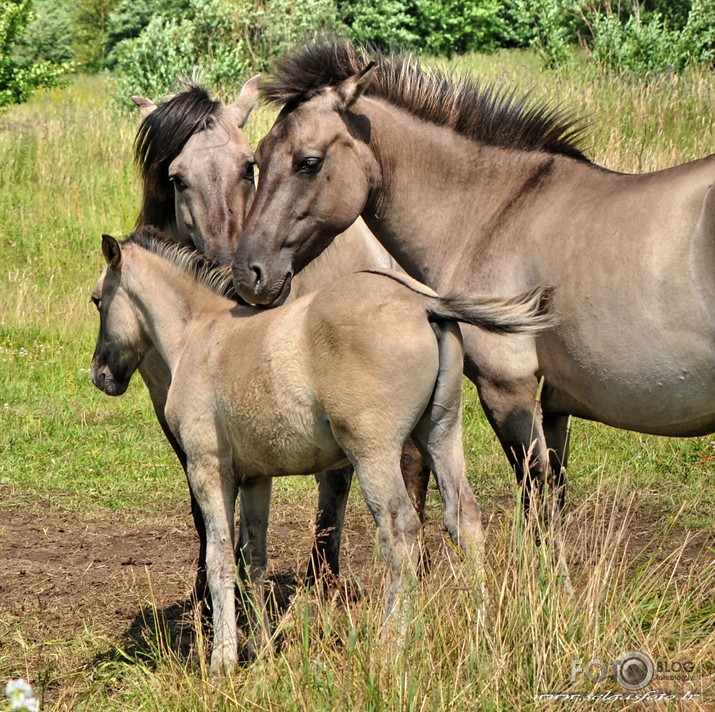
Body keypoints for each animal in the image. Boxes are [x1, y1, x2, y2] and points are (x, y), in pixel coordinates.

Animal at [91, 231, 552, 676]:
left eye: (97, 300)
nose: (100, 374)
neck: (201, 336)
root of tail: (425, 304)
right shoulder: (256, 477)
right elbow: (252, 558)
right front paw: (260, 649)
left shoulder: (208, 469)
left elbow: (219, 557)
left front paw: (223, 660)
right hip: (441, 433)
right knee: (464, 520)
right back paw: (481, 635)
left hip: (374, 453)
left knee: (400, 532)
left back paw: (390, 647)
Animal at [129, 79, 430, 596]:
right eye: (177, 179)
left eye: (247, 167)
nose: (230, 268)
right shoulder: (173, 407)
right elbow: (204, 504)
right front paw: (205, 593)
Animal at [234, 39, 715, 572]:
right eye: (257, 160)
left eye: (309, 162)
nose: (250, 273)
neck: (493, 213)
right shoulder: (554, 408)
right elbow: (554, 497)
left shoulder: (508, 390)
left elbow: (537, 502)